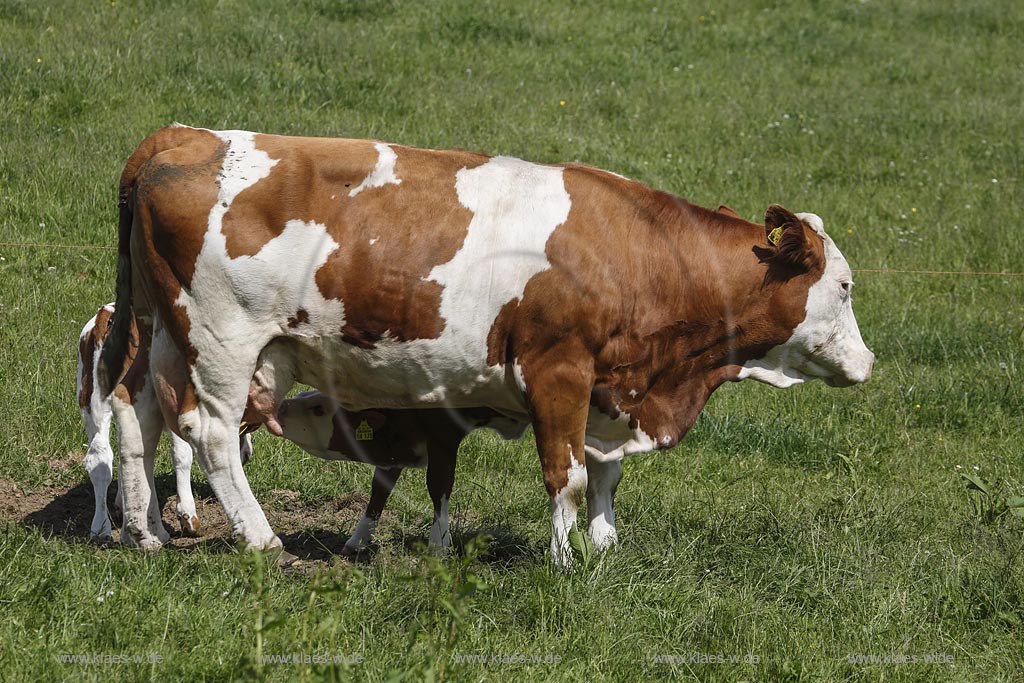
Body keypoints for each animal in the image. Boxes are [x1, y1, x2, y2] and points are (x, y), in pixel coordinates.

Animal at [78, 305, 256, 544]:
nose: (246, 454)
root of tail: (108, 313)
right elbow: (181, 454)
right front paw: (187, 516)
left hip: (90, 403)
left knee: (100, 459)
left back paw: (101, 529)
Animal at [278, 389, 528, 557]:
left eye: (318, 409)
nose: (280, 407)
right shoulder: (395, 451)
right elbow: (379, 489)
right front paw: (359, 540)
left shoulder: (444, 436)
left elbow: (438, 485)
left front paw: (438, 546)